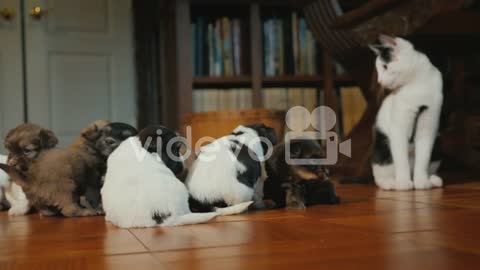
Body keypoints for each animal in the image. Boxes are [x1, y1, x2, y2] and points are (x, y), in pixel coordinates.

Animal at [6, 120, 137, 217]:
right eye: (103, 133)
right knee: (69, 210)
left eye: (27, 151)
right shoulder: (92, 180)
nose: (11, 162)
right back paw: (84, 212)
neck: (84, 145)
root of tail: (32, 182)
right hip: (67, 188)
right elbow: (94, 195)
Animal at [370, 34, 444, 191]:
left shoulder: (428, 125)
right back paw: (390, 182)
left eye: (385, 66)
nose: (379, 81)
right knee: (379, 177)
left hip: (437, 148)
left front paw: (421, 181)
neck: (417, 85)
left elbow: (423, 158)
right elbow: (401, 158)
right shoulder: (398, 129)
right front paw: (403, 183)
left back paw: (433, 179)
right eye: (378, 70)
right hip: (382, 149)